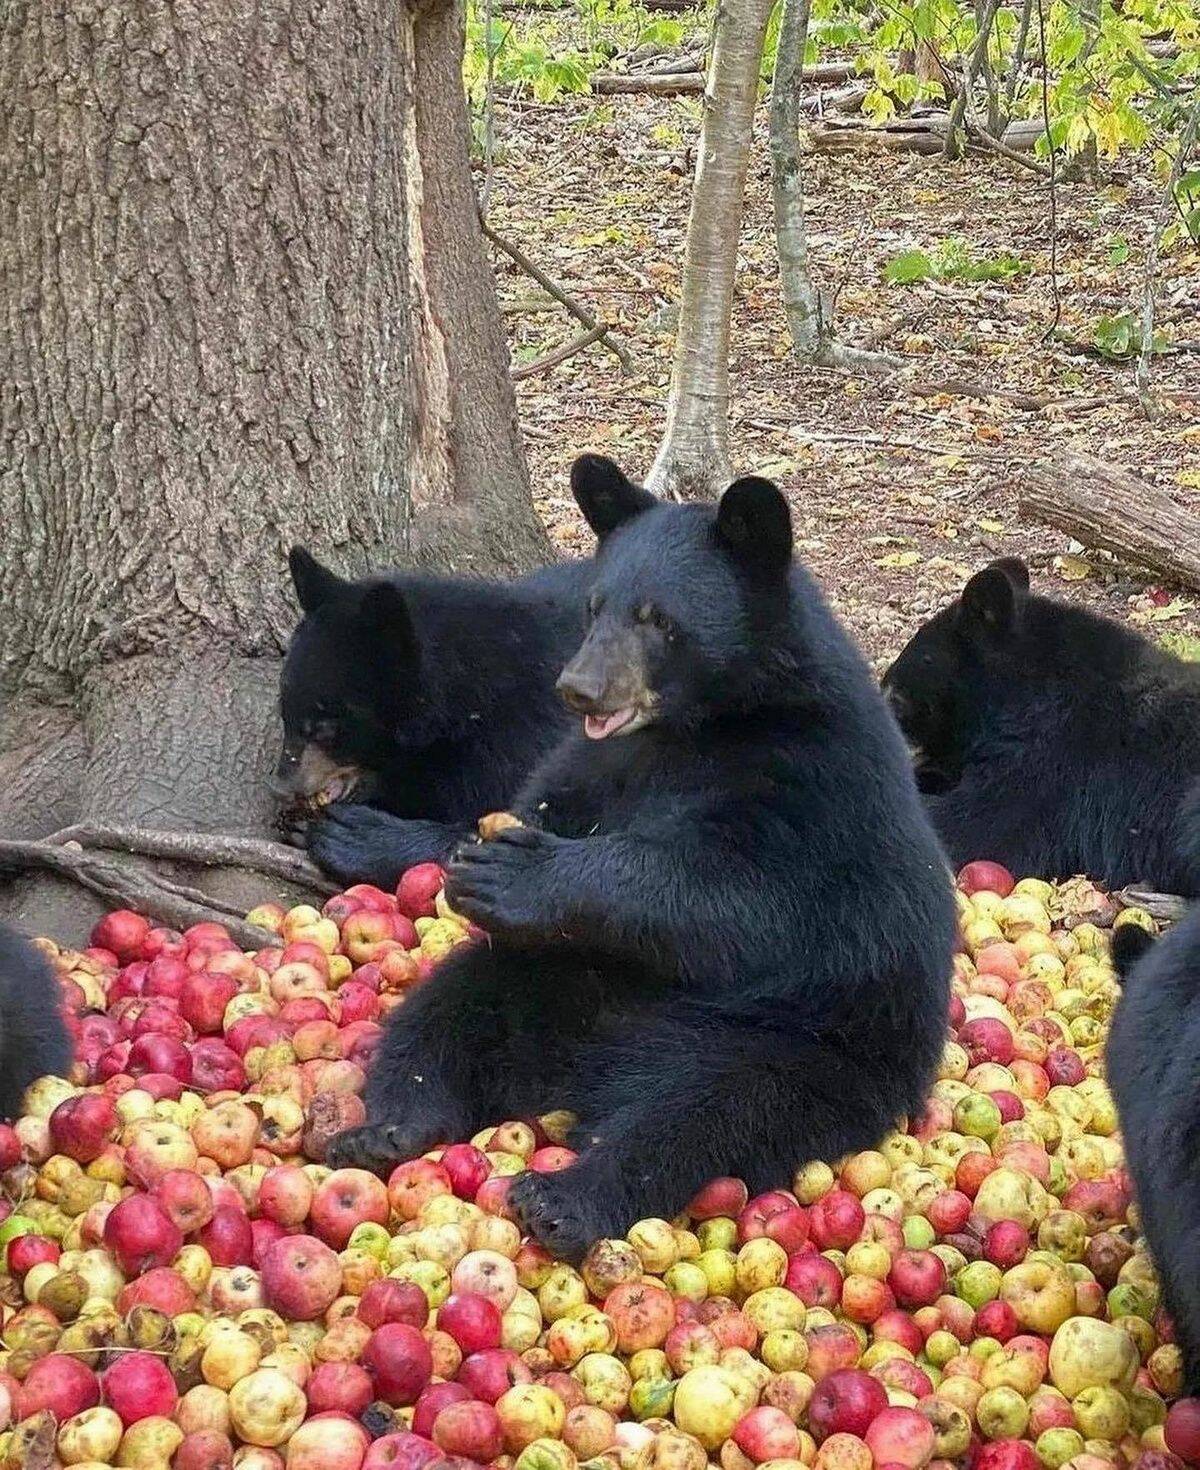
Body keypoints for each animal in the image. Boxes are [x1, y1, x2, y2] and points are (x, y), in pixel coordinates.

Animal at [326, 458, 958, 1264]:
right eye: (596, 606)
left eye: (659, 619)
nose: (580, 688)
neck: (695, 727)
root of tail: (579, 1073)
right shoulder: (601, 761)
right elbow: (543, 798)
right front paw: (464, 855)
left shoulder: (811, 780)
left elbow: (743, 899)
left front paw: (519, 874)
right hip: (551, 979)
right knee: (447, 1009)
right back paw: (389, 1126)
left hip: (800, 1046)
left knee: (703, 1111)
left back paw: (567, 1198)